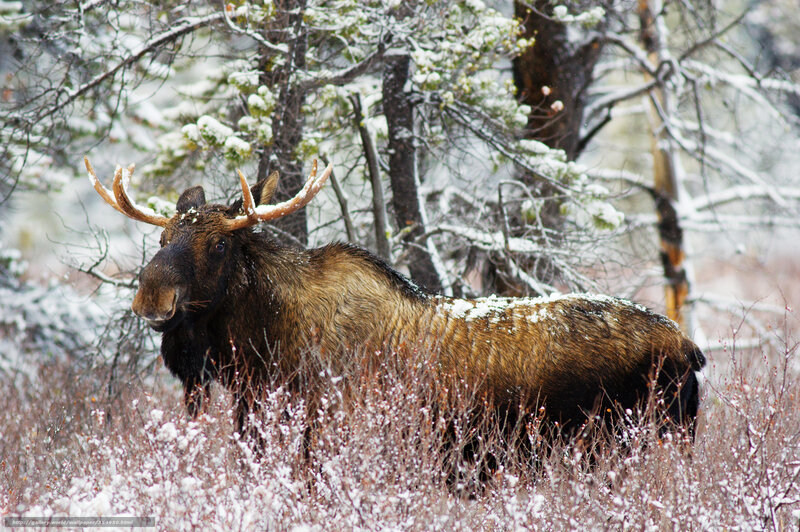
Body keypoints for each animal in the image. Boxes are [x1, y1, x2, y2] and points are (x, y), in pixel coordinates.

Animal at [85, 156, 705, 455]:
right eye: (162, 238)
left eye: (218, 244)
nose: (152, 296)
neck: (258, 350)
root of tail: (690, 349)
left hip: (635, 443)